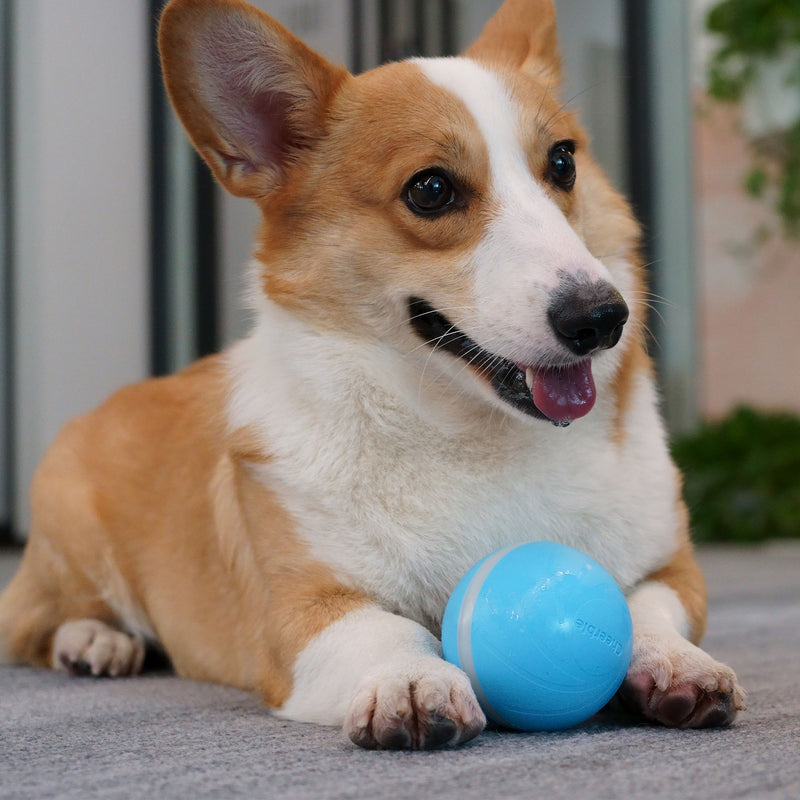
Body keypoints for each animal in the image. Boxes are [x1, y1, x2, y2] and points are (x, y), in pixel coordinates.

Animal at [3, 0, 748, 752]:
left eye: (563, 163)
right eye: (431, 189)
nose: (601, 318)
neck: (476, 436)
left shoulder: (672, 570)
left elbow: (645, 608)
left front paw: (678, 664)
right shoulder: (301, 615)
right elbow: (382, 629)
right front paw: (411, 683)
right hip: (72, 549)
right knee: (38, 624)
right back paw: (95, 642)